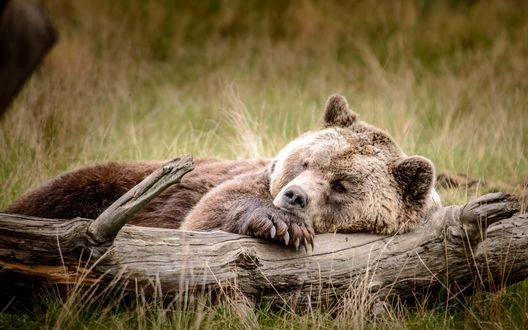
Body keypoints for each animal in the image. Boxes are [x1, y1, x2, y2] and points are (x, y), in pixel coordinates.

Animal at [5, 95, 442, 250]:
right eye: (305, 162)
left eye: (342, 185)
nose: (294, 196)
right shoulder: (242, 180)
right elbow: (209, 211)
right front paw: (279, 224)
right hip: (102, 181)